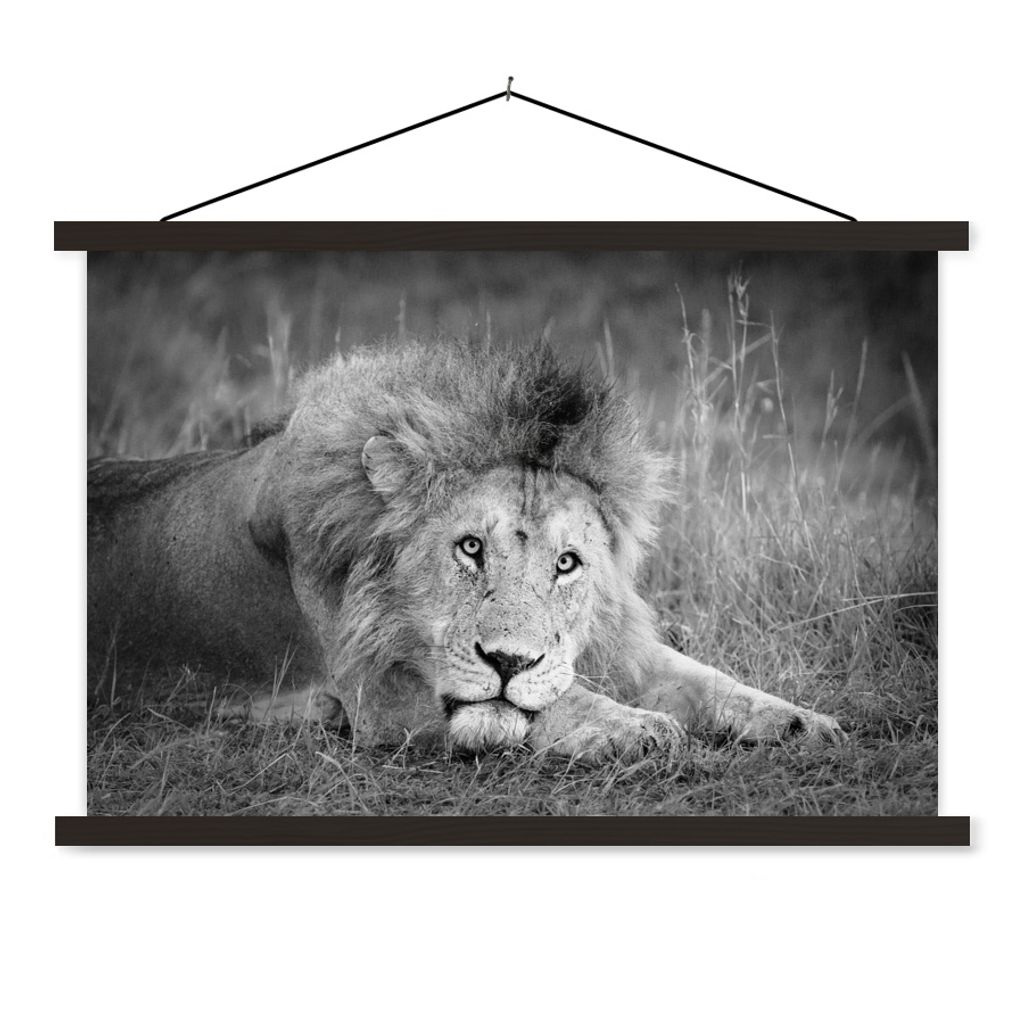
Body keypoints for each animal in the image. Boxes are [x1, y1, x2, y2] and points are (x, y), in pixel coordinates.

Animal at [88, 341, 844, 763]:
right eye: (470, 548)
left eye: (567, 563)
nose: (509, 662)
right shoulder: (377, 693)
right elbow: (549, 706)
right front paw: (633, 727)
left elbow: (700, 677)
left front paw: (799, 720)